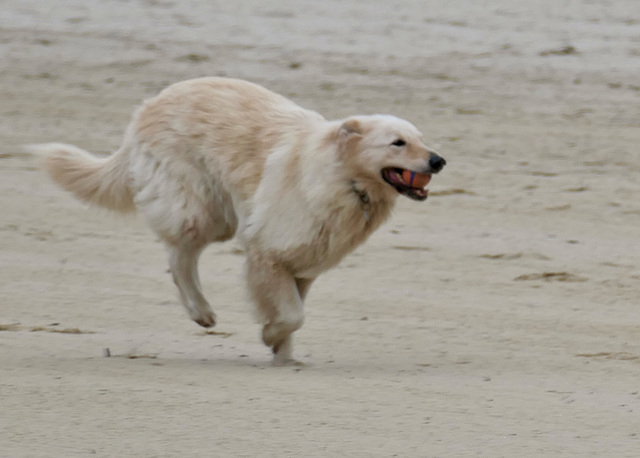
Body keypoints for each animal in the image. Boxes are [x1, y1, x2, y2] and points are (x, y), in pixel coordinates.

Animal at [32, 78, 448, 364]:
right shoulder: (267, 253)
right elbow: (292, 314)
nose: (439, 160)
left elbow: (295, 313)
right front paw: (270, 336)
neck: (345, 180)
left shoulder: (303, 266)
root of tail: (149, 105)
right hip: (203, 212)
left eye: (420, 139)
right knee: (178, 259)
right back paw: (200, 311)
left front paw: (284, 356)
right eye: (397, 143)